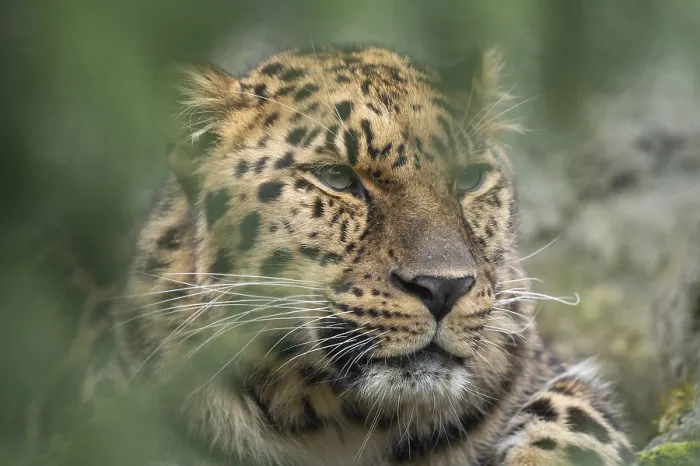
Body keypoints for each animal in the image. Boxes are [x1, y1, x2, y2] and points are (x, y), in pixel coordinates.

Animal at [29, 45, 638, 466]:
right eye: (336, 178)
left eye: (469, 179)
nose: (444, 287)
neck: (336, 419)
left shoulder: (553, 374)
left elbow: (573, 422)